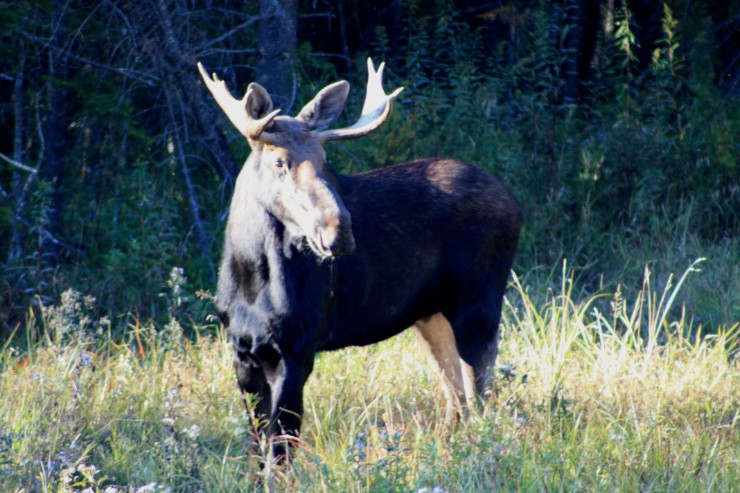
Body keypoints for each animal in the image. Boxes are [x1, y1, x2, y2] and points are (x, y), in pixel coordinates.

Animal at [198, 59, 522, 459]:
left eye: (324, 160)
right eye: (278, 162)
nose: (338, 231)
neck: (251, 280)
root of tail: (516, 204)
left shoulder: (297, 349)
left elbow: (280, 451)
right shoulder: (243, 352)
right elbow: (259, 449)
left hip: (479, 306)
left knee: (481, 397)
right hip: (430, 315)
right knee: (457, 398)